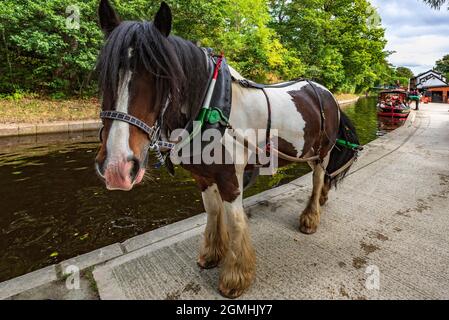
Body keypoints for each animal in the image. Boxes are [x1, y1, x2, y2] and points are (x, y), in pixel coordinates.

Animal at [95, 0, 360, 300]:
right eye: (103, 75)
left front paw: (236, 276)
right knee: (322, 178)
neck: (211, 105)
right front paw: (212, 253)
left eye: (161, 75)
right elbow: (212, 212)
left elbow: (235, 222)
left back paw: (310, 217)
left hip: (322, 150)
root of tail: (327, 93)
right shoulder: (203, 175)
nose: (117, 167)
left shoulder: (231, 178)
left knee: (316, 178)